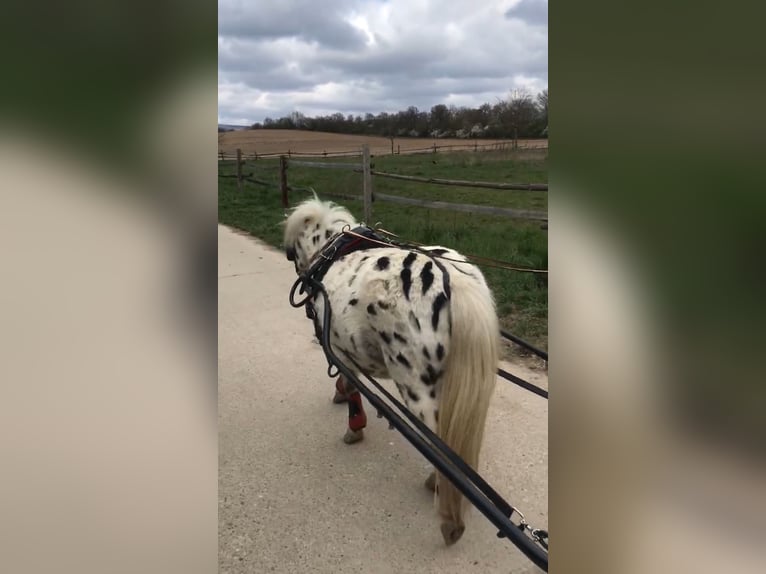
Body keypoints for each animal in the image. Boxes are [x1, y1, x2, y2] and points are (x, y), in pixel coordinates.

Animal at [283, 197, 499, 546]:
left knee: (441, 446)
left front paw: (353, 425)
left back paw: (446, 510)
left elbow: (350, 385)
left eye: (291, 254)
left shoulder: (339, 349)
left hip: (417, 387)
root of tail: (456, 281)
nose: (302, 273)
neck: (331, 255)